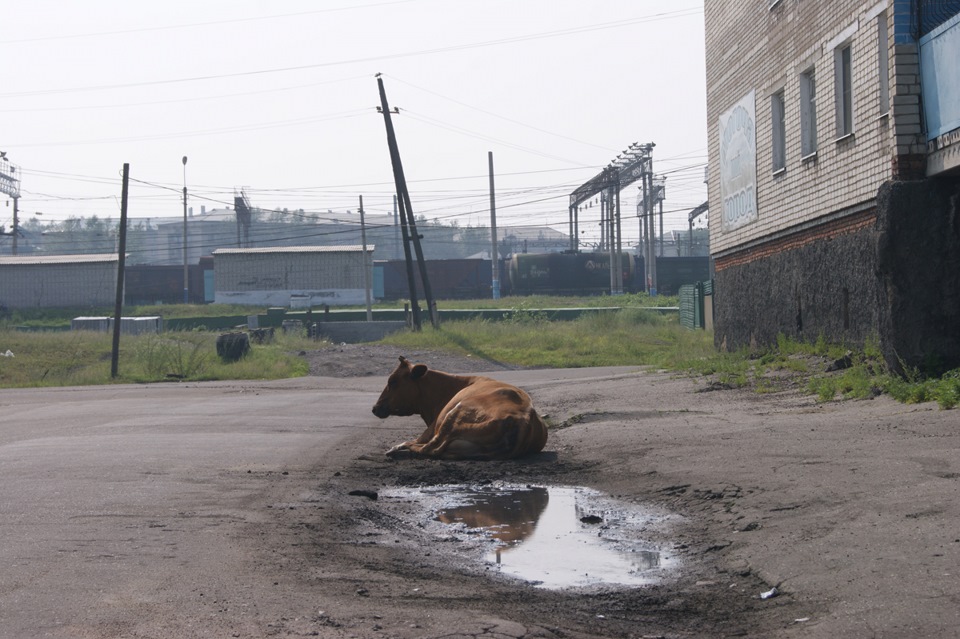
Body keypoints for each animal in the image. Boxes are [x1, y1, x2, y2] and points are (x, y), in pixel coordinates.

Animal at [372, 356, 548, 460]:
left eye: (393, 381)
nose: (375, 407)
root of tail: (525, 416)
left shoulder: (430, 430)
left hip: (455, 414)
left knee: (430, 448)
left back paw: (398, 449)